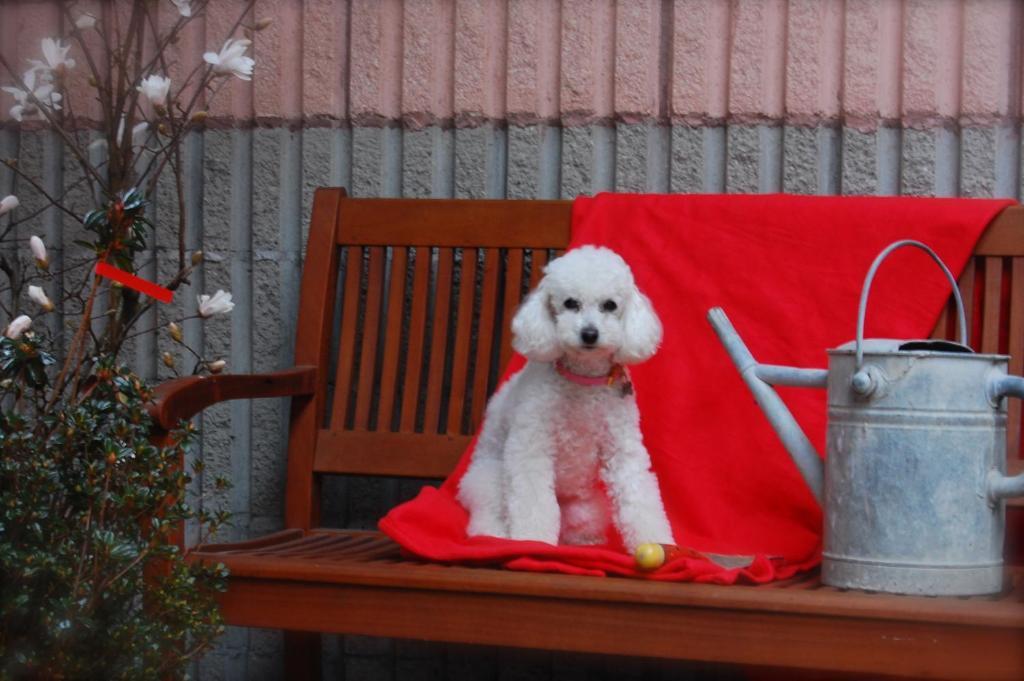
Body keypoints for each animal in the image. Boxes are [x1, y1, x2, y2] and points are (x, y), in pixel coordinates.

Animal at [456, 245, 671, 552]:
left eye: (610, 305)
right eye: (570, 303)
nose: (589, 333)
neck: (583, 380)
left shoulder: (622, 447)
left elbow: (638, 495)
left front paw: (661, 543)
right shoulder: (531, 446)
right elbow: (533, 501)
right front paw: (532, 541)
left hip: (584, 505)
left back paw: (584, 539)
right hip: (487, 479)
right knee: (490, 511)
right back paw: (494, 534)